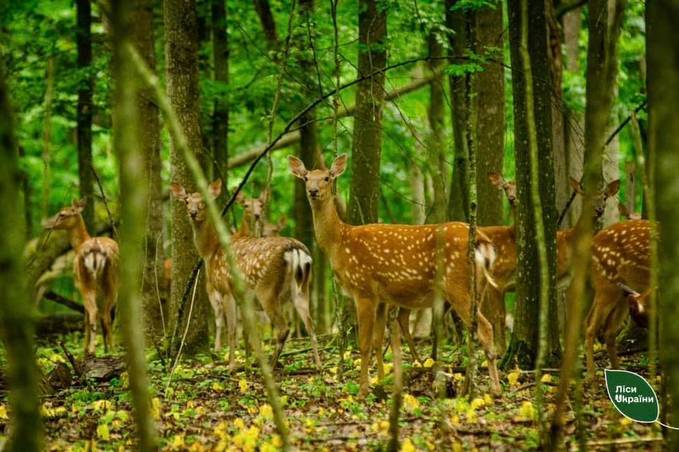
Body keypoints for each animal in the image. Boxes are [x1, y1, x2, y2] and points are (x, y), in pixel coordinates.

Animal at [43, 200, 119, 356]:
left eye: (62, 214)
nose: (46, 224)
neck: (78, 246)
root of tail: (95, 249)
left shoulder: (78, 285)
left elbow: (85, 318)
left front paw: (84, 350)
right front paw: (106, 348)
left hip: (86, 282)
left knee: (94, 312)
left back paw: (91, 350)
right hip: (112, 282)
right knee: (107, 315)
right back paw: (111, 350)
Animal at [169, 179, 320, 368]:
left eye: (203, 201)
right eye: (186, 201)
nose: (193, 213)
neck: (211, 251)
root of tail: (296, 250)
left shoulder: (226, 289)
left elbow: (233, 330)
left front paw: (232, 366)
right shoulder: (243, 299)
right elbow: (248, 332)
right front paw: (247, 363)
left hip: (267, 290)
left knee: (283, 328)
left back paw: (271, 366)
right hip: (301, 288)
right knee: (310, 325)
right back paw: (319, 366)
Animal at [286, 154, 500, 396]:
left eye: (327, 177)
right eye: (305, 178)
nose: (313, 191)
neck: (338, 243)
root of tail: (483, 241)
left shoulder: (363, 289)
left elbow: (364, 344)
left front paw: (363, 390)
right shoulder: (381, 297)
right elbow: (378, 341)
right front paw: (381, 381)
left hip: (457, 284)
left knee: (485, 328)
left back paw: (494, 389)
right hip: (478, 288)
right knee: (475, 331)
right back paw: (465, 387)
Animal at [584, 219, 652, 378]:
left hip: (620, 293)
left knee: (608, 330)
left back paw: (617, 370)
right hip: (607, 285)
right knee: (591, 326)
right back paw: (591, 376)